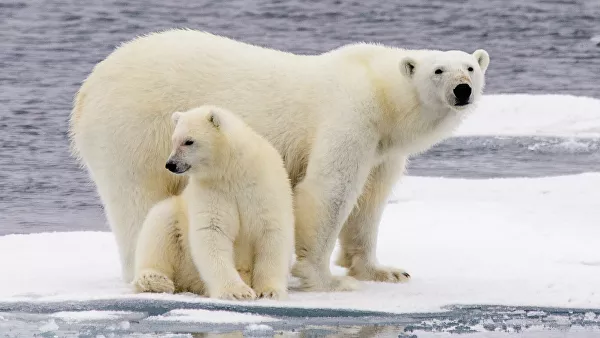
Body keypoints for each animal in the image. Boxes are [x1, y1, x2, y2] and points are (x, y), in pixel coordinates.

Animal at [69, 29, 488, 292]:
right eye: (438, 70)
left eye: (470, 67)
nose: (462, 90)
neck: (380, 90)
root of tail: (86, 90)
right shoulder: (350, 115)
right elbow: (329, 190)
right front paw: (325, 279)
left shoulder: (383, 147)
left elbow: (370, 201)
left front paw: (383, 270)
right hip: (136, 131)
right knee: (138, 200)